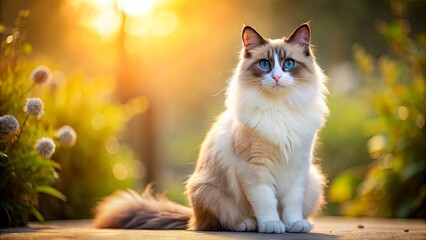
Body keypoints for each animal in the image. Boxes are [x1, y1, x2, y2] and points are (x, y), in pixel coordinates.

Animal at [94, 23, 330, 233]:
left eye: (288, 64)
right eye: (265, 65)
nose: (277, 77)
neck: (279, 108)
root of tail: (193, 217)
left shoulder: (298, 167)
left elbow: (292, 204)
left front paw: (294, 224)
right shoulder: (254, 168)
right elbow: (266, 202)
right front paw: (272, 225)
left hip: (313, 181)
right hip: (208, 190)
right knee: (222, 222)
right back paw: (248, 224)